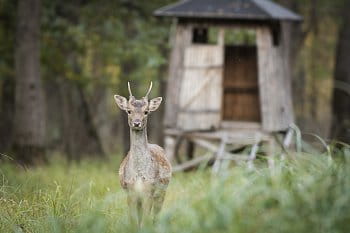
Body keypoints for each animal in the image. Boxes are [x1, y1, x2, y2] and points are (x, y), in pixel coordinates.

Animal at [115, 82, 172, 228]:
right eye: (129, 111)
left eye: (146, 112)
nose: (136, 122)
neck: (139, 175)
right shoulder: (130, 191)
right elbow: (133, 222)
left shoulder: (149, 190)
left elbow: (145, 222)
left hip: (162, 192)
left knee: (155, 217)